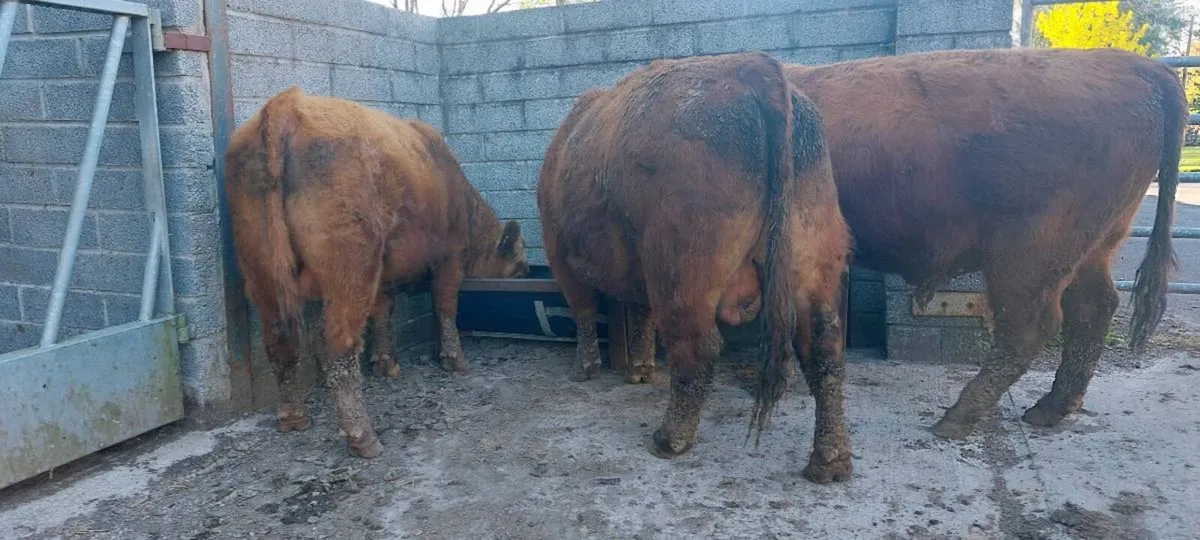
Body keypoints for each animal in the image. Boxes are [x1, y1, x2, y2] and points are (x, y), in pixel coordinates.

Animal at [225, 86, 530, 458]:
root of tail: (288, 103)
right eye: (521, 266)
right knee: (337, 342)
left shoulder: (383, 273)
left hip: (261, 270)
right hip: (350, 268)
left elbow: (383, 310)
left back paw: (293, 417)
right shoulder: (449, 259)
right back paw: (362, 435)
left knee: (280, 338)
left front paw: (386, 364)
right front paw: (454, 360)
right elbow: (445, 307)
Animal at [537, 51, 854, 483]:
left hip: (678, 270)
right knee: (824, 347)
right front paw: (639, 369)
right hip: (811, 259)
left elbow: (584, 310)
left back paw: (670, 438)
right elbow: (640, 314)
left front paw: (585, 368)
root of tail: (754, 68)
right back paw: (829, 460)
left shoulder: (560, 254)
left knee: (698, 346)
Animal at [783, 47, 1185, 439]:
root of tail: (1136, 65)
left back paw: (957, 418)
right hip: (1093, 248)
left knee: (1031, 325)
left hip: (1027, 256)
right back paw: (1049, 408)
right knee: (1092, 308)